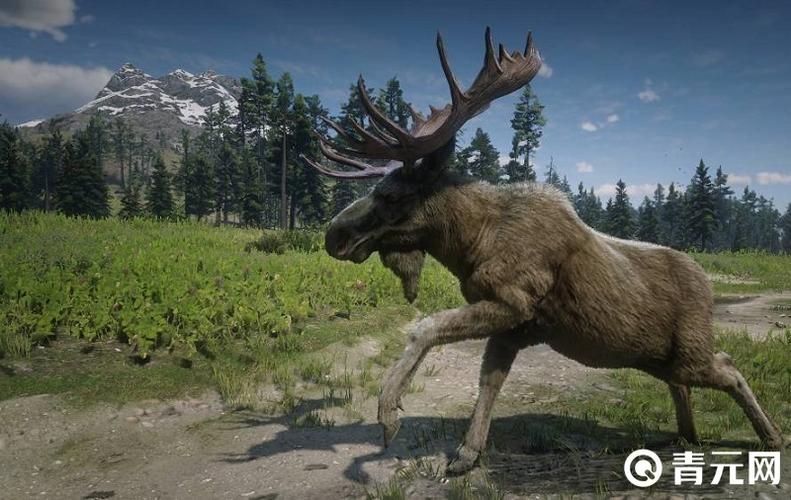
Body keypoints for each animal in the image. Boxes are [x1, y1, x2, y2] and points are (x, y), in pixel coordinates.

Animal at [301, 28, 783, 475]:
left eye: (392, 195)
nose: (334, 235)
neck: (472, 243)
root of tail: (707, 283)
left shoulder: (514, 302)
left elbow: (427, 327)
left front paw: (388, 415)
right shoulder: (513, 325)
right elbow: (489, 382)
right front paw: (466, 454)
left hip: (690, 353)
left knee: (729, 367)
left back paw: (771, 436)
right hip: (657, 359)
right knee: (685, 383)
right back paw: (686, 436)